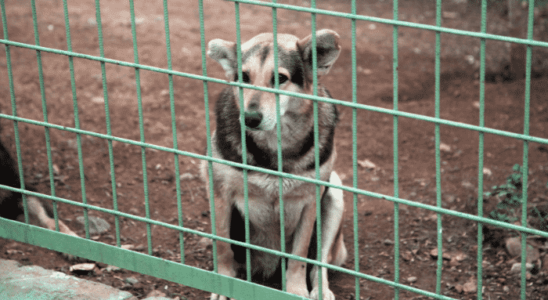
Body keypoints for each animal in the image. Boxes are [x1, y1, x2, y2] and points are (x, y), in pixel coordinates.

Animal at [201, 28, 346, 300]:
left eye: (280, 78)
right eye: (243, 77)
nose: (250, 118)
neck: (275, 144)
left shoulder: (310, 201)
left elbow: (300, 257)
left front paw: (296, 289)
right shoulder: (220, 193)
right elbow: (224, 247)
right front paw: (223, 284)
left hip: (335, 194)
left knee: (319, 263)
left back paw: (321, 290)